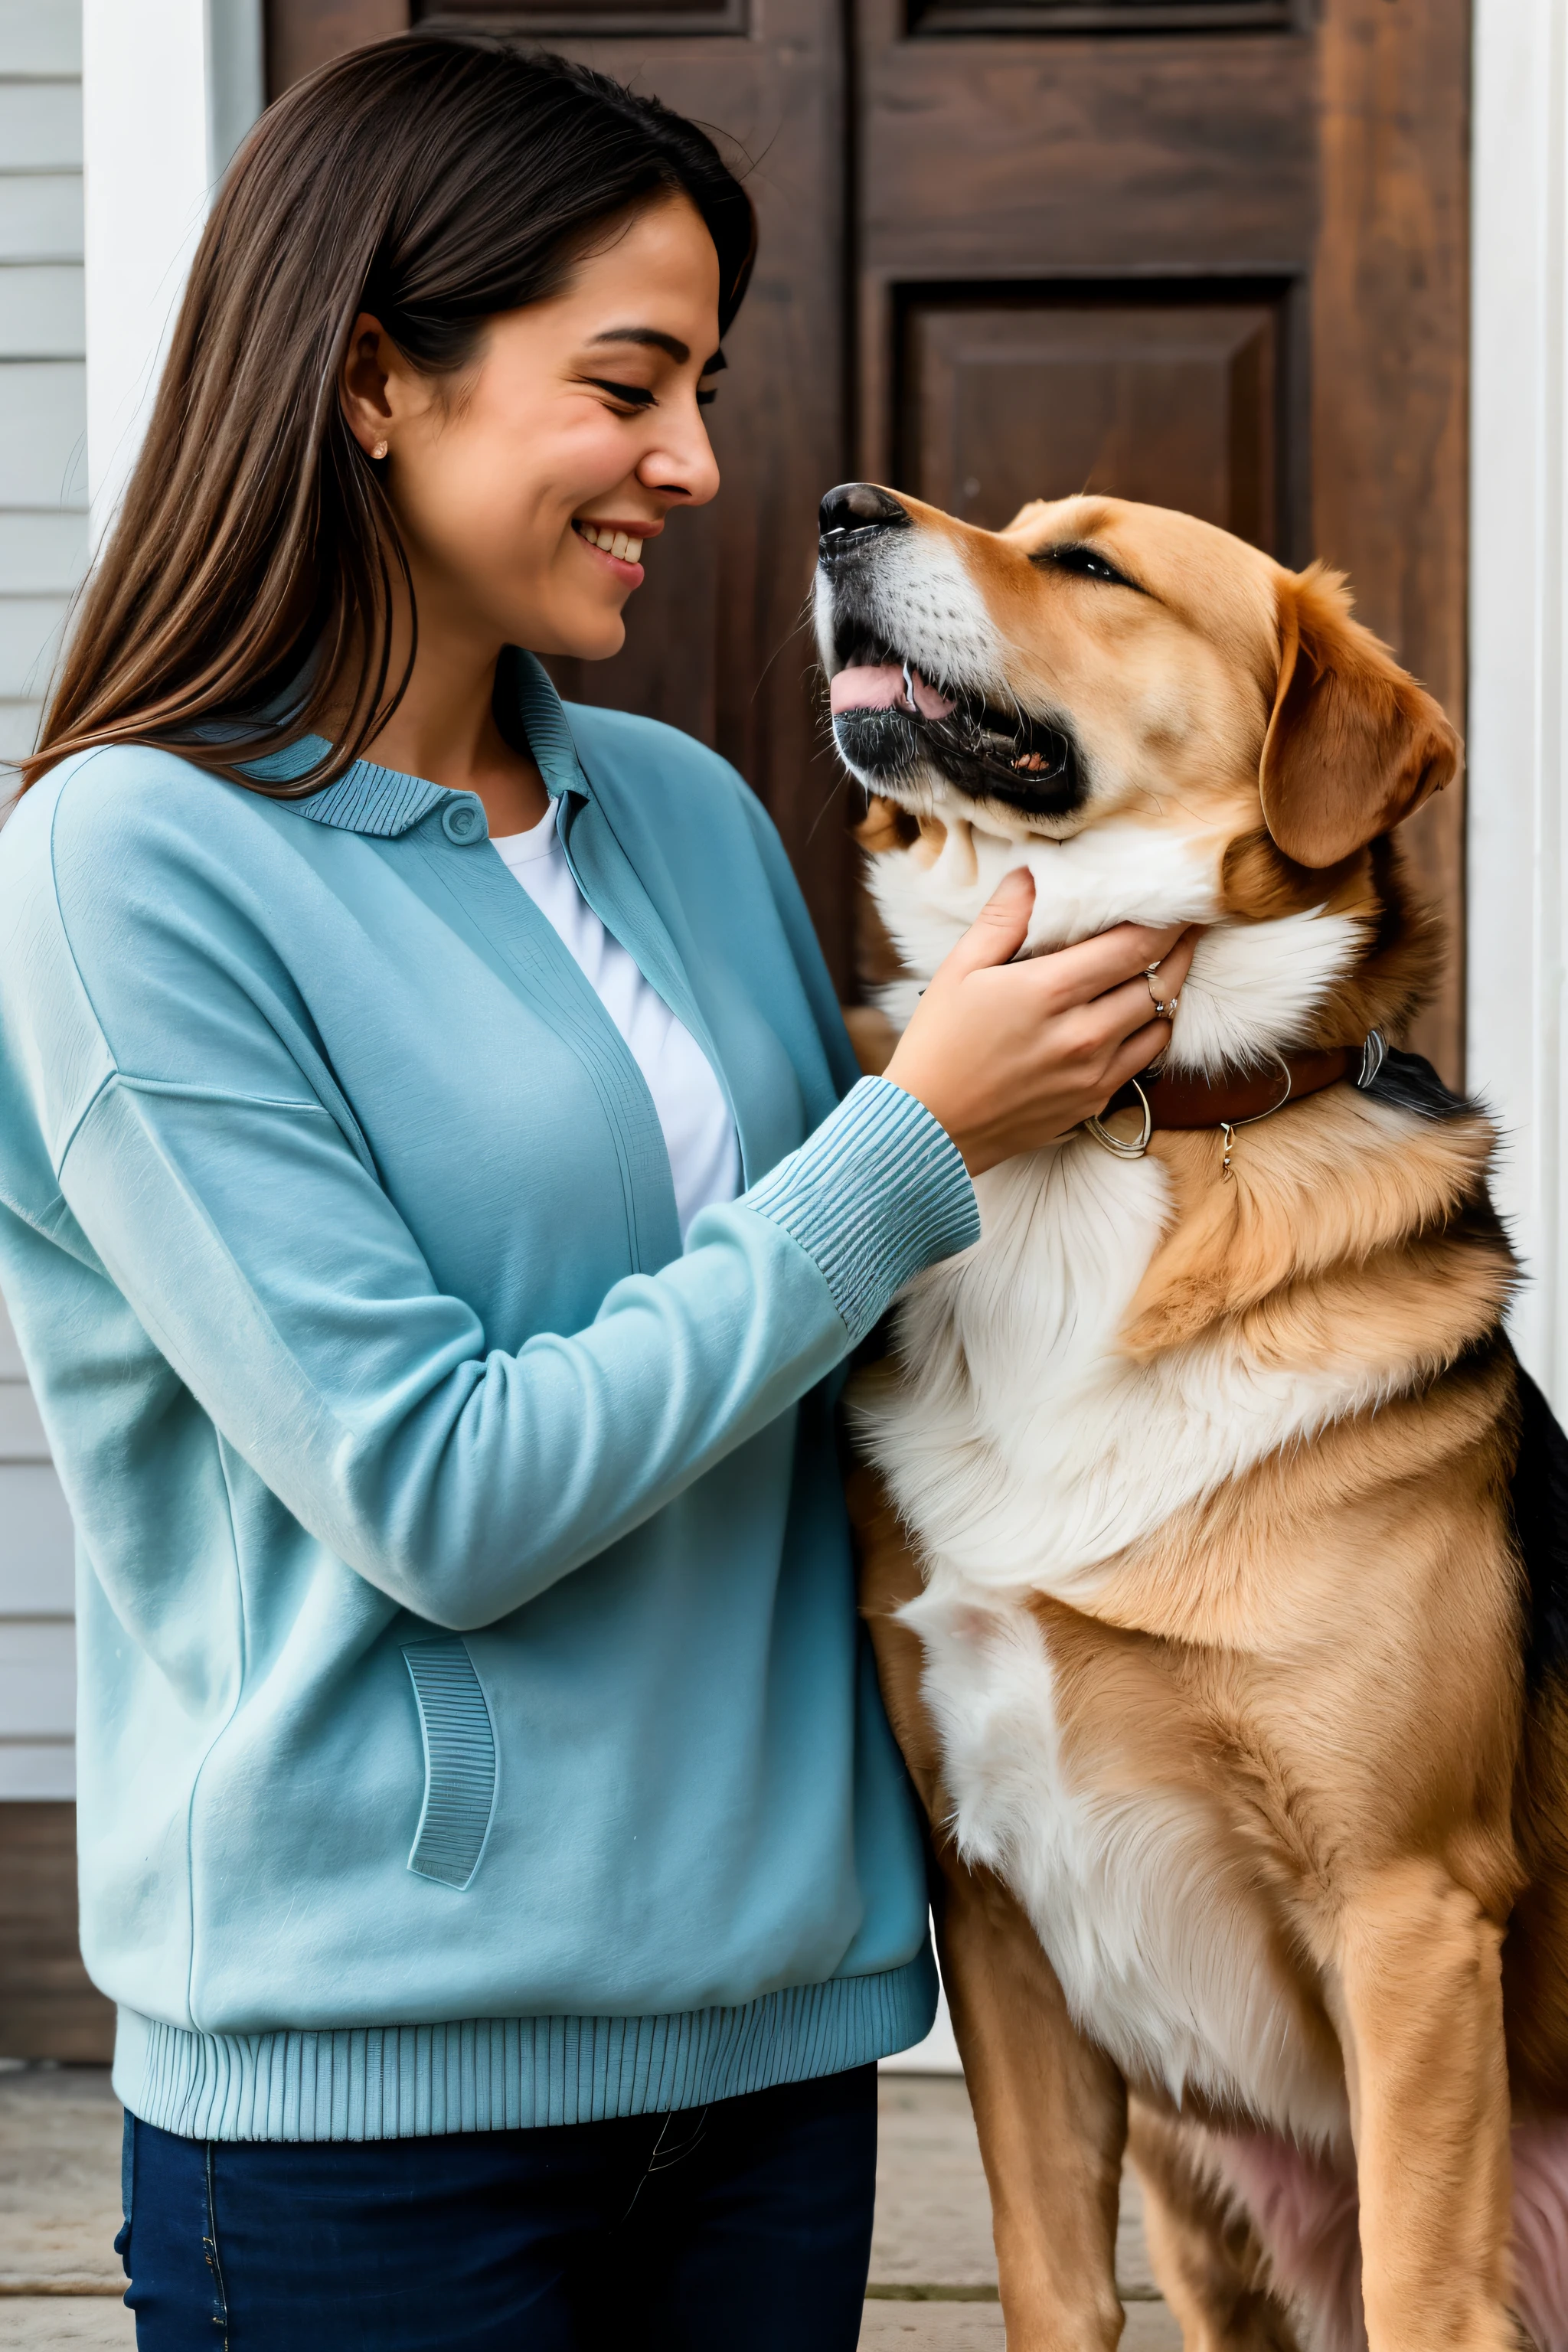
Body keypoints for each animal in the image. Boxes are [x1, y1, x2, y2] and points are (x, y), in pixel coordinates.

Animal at [818, 482, 1568, 2352]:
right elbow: (1047, 2282)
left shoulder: (1407, 1914)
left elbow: (1426, 2296)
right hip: (1199, 2189)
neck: (1120, 1130)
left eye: (1088, 563)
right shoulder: (993, 1910)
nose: (840, 509)